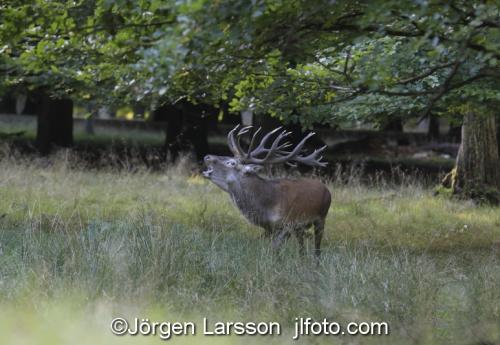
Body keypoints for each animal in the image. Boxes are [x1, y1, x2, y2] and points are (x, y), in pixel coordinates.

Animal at [201, 125, 330, 260]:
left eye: (231, 162)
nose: (207, 156)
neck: (267, 207)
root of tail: (326, 189)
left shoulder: (287, 224)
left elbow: (275, 248)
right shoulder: (270, 228)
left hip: (321, 217)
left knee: (317, 248)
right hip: (300, 228)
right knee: (302, 248)